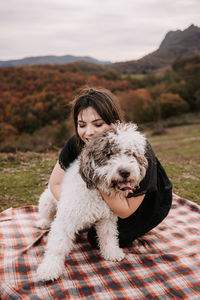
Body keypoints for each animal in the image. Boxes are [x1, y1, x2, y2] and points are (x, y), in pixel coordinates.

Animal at [36, 122, 148, 282]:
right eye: (109, 154)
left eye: (131, 154)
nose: (125, 172)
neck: (97, 191)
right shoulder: (66, 218)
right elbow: (57, 245)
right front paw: (49, 268)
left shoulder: (107, 218)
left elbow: (108, 236)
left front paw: (112, 253)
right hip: (46, 201)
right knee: (46, 215)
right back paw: (44, 223)